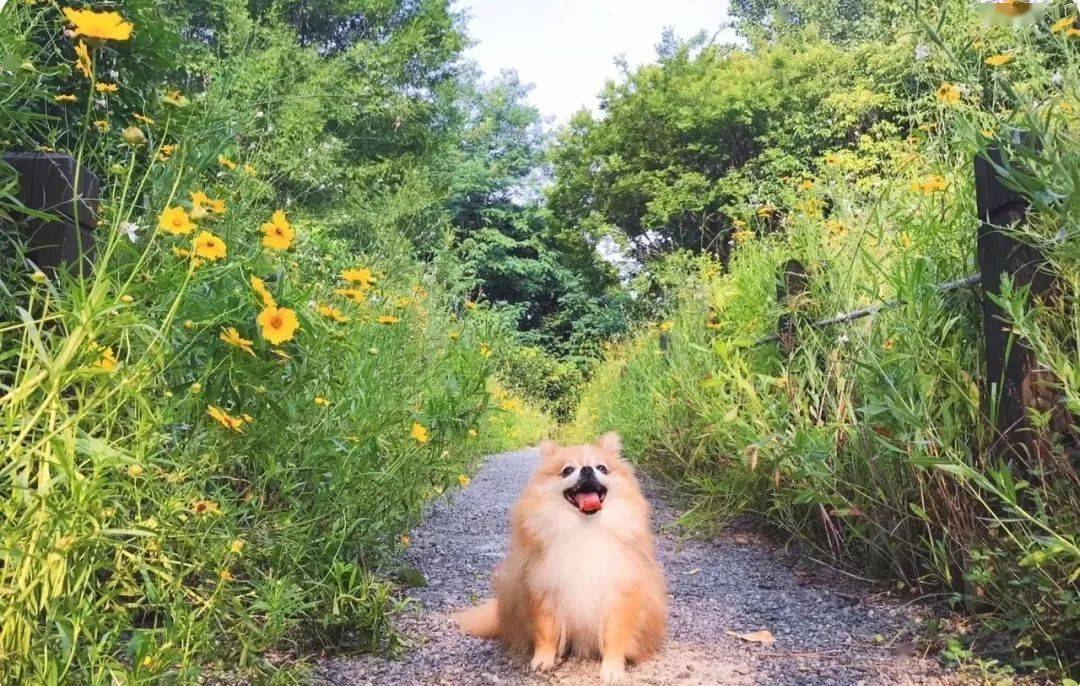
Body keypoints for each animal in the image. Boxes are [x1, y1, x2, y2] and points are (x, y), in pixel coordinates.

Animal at [453, 434, 665, 682]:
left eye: (601, 468)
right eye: (567, 470)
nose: (587, 469)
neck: (585, 529)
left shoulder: (620, 595)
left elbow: (615, 636)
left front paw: (612, 668)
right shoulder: (544, 590)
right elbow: (545, 631)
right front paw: (543, 659)